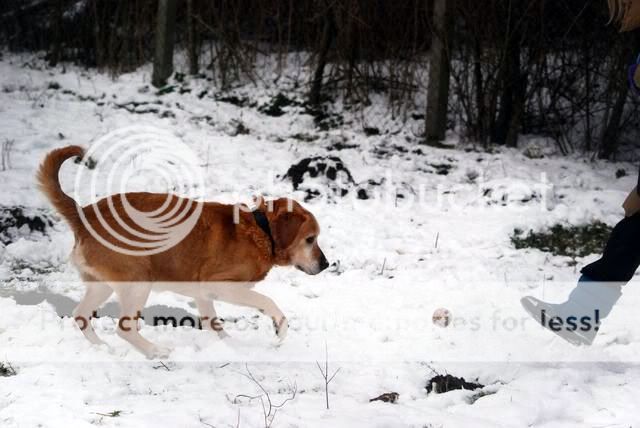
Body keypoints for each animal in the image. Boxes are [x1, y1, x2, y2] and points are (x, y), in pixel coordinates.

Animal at [38, 145, 330, 356]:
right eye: (310, 239)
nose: (326, 265)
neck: (262, 230)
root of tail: (83, 215)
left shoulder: (203, 296)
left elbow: (214, 324)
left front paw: (230, 348)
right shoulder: (223, 286)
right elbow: (267, 302)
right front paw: (279, 330)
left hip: (102, 286)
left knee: (81, 316)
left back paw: (103, 348)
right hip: (139, 281)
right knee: (124, 328)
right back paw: (157, 352)